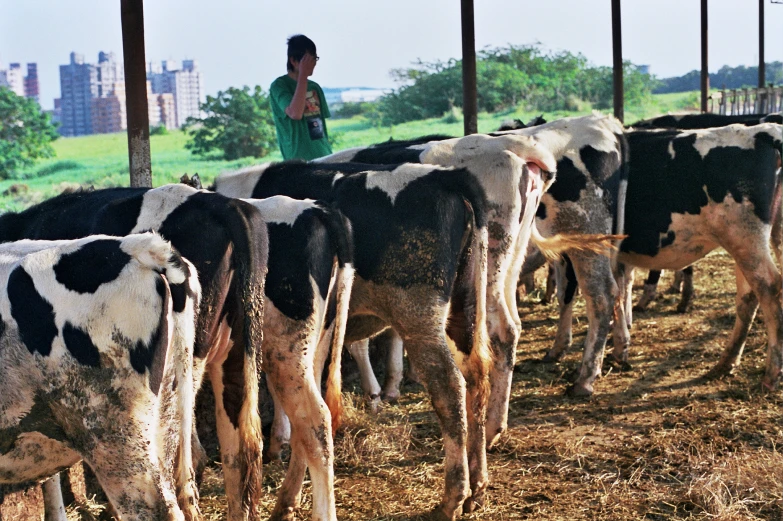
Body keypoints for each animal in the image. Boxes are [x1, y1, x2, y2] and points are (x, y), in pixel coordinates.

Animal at [620, 124, 783, 388]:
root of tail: (764, 131)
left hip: (745, 238)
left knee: (768, 288)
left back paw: (771, 374)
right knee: (748, 296)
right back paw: (725, 363)